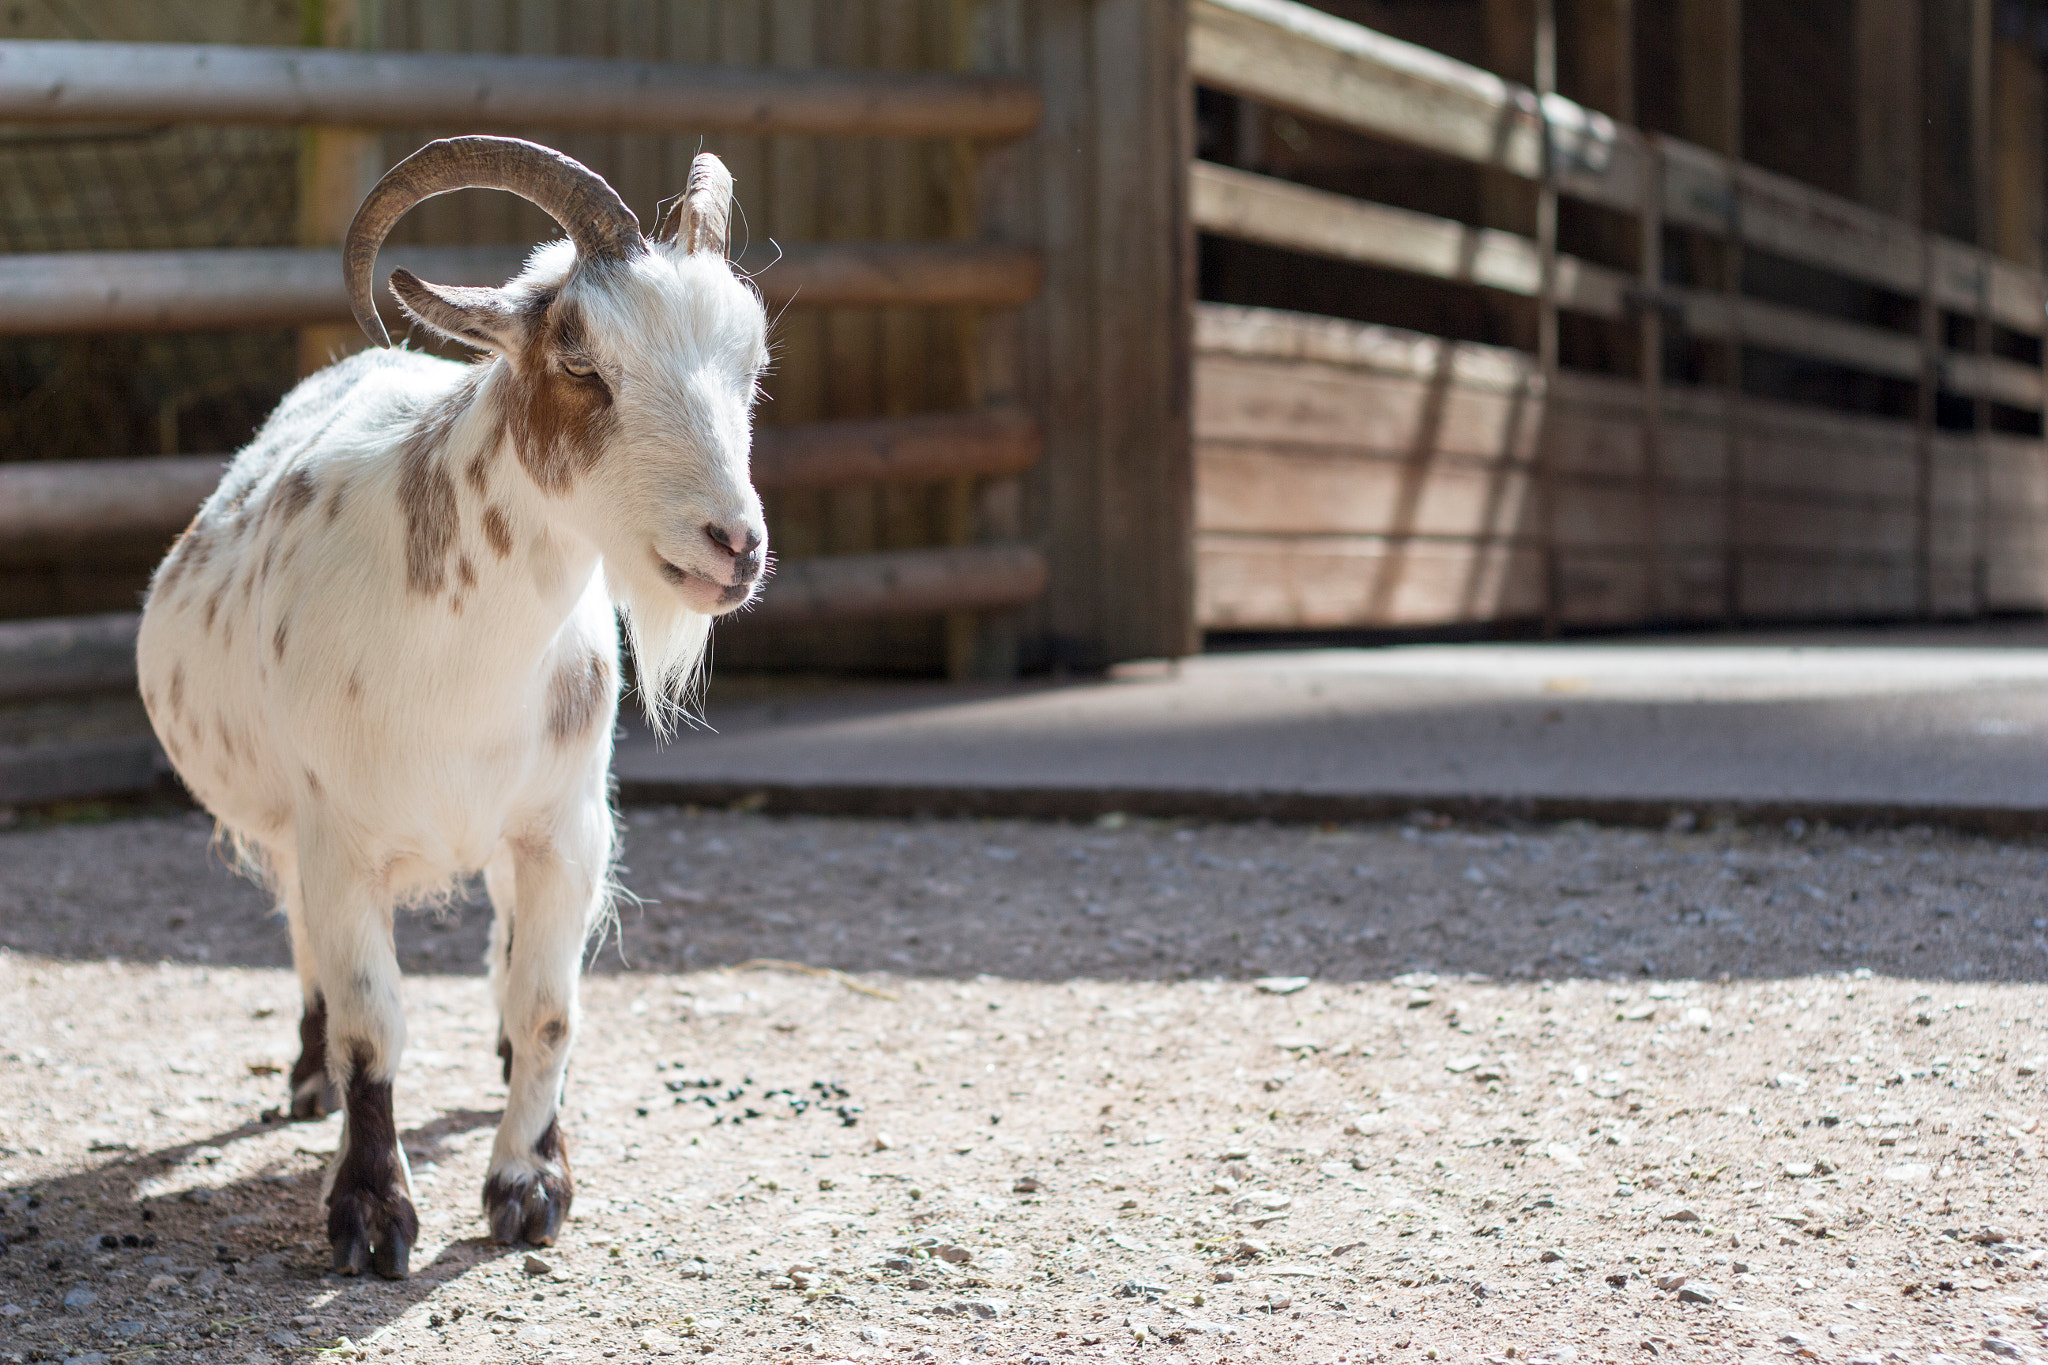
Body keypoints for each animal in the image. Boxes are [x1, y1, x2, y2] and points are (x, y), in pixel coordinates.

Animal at [135, 136, 769, 1278]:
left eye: (749, 364)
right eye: (580, 362)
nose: (732, 544)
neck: (462, 673)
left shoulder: (566, 828)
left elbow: (550, 1005)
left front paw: (530, 1185)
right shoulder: (337, 835)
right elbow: (370, 1026)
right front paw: (369, 1213)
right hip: (291, 831)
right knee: (306, 946)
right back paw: (305, 1082)